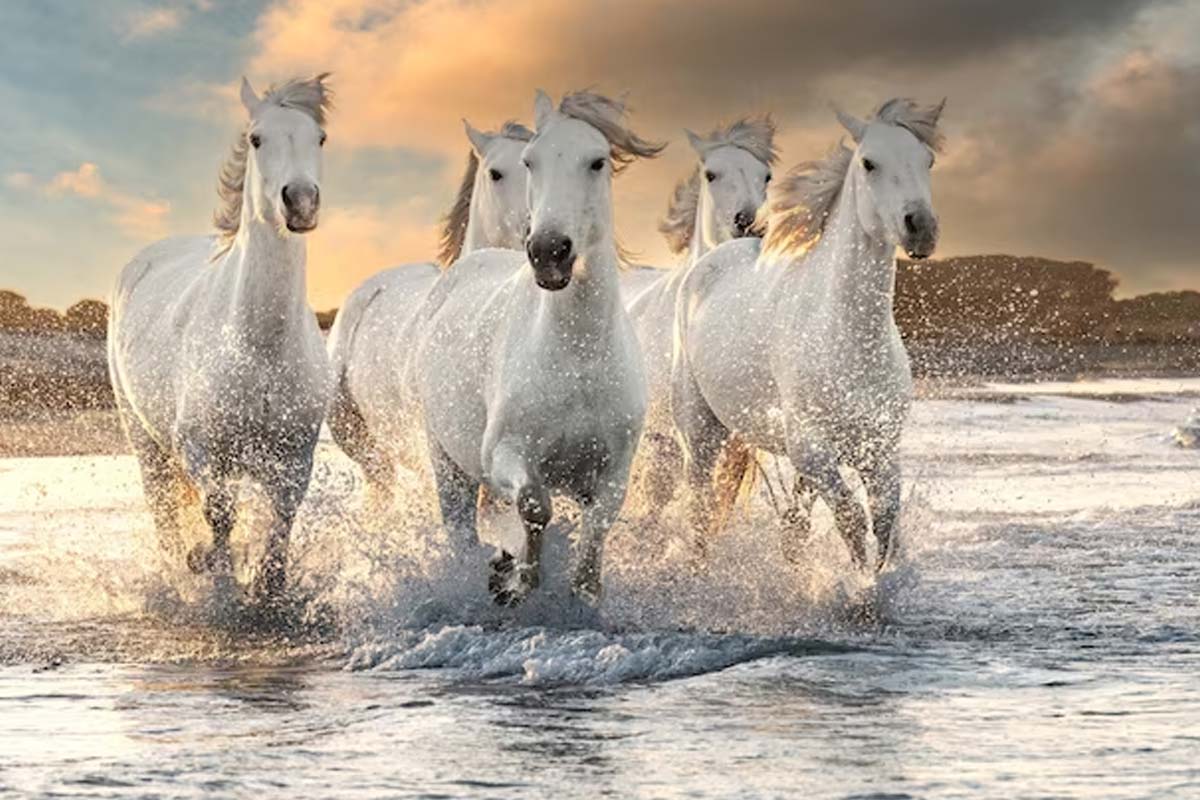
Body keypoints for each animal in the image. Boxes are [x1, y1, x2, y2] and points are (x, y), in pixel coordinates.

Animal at [107, 74, 333, 603]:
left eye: (320, 138)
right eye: (256, 139)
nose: (300, 202)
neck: (260, 347)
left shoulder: (295, 458)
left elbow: (279, 527)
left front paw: (267, 588)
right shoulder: (201, 450)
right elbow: (220, 516)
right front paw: (208, 569)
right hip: (146, 444)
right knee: (165, 516)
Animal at [414, 90, 664, 604]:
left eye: (598, 161)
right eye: (532, 161)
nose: (549, 251)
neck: (577, 358)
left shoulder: (614, 472)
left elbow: (594, 536)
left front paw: (580, 593)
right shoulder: (504, 456)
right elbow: (534, 507)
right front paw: (513, 577)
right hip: (447, 465)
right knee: (460, 530)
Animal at [669, 98, 944, 570]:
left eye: (927, 160)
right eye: (869, 162)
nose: (921, 227)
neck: (847, 337)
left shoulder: (880, 450)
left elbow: (883, 522)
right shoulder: (812, 450)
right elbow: (852, 519)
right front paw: (856, 585)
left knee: (789, 522)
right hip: (699, 431)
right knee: (699, 507)